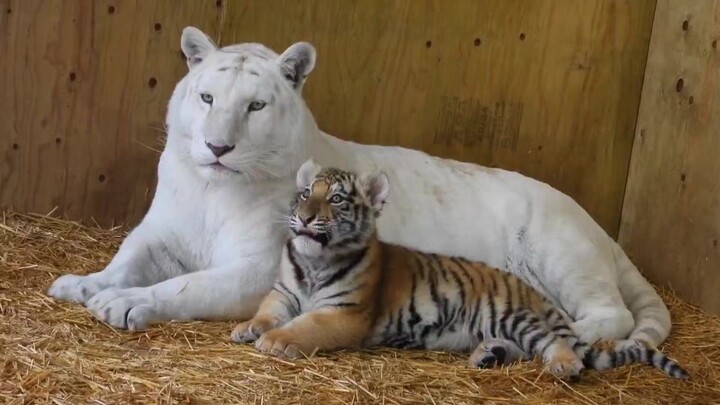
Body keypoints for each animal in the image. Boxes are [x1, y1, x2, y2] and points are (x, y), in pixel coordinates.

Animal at [230, 159, 688, 380]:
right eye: (305, 192)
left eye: (338, 199)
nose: (305, 217)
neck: (314, 265)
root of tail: (604, 233)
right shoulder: (284, 292)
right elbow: (270, 309)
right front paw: (250, 326)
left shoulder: (347, 313)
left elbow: (307, 326)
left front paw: (277, 340)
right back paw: (492, 351)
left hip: (564, 255)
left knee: (603, 317)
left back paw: (561, 343)